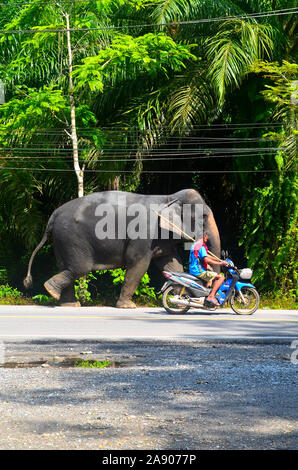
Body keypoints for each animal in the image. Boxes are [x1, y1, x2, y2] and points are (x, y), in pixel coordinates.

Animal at [23, 188, 221, 308]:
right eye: (203, 216)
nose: (212, 302)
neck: (169, 197)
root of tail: (53, 215)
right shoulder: (143, 231)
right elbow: (138, 263)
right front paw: (128, 306)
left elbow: (172, 265)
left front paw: (179, 302)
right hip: (71, 237)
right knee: (80, 268)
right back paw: (51, 290)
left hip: (61, 239)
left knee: (66, 266)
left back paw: (68, 303)